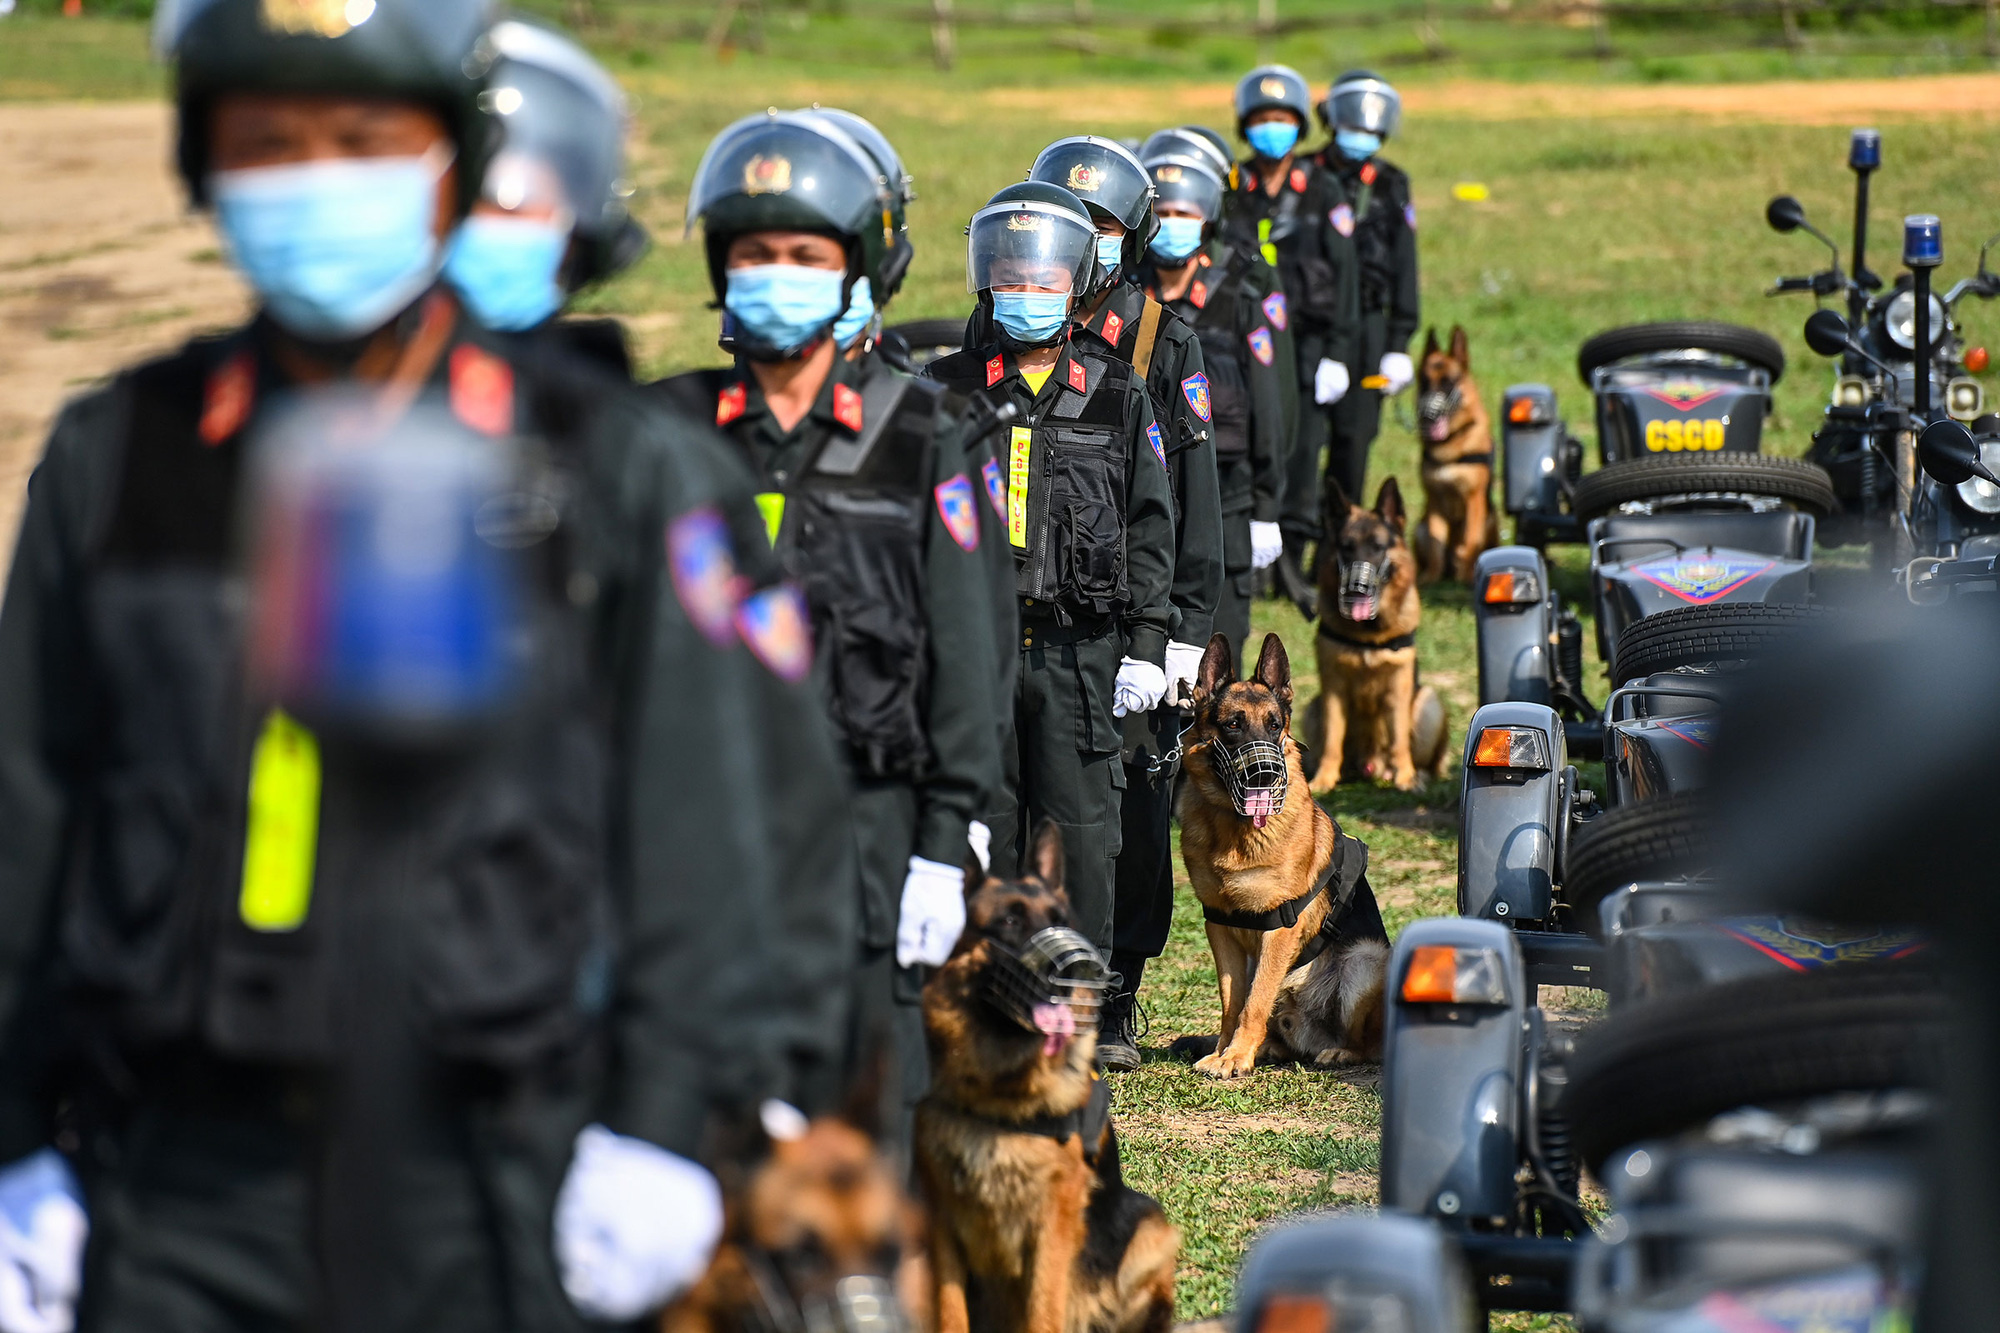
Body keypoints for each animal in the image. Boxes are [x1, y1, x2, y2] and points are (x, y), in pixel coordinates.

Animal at [1168, 628, 1392, 1072]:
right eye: (1233, 724)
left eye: (1274, 726)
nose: (1266, 772)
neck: (1234, 831)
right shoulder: (1220, 928)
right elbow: (1232, 1002)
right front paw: (1225, 1051)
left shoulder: (1278, 930)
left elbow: (1253, 1001)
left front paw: (1236, 1057)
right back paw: (1271, 1046)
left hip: (1367, 959)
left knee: (1370, 1043)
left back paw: (1340, 1051)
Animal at [1304, 474, 1448, 792]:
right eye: (1347, 547)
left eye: (1378, 546)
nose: (1358, 587)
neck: (1368, 634)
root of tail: (1370, 767)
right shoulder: (1333, 690)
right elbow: (1333, 740)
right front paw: (1324, 779)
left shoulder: (1398, 687)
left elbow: (1399, 740)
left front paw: (1405, 778)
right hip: (1313, 707)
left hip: (1429, 704)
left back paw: (1414, 774)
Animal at [1408, 322, 1504, 580]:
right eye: (1424, 382)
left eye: (1447, 383)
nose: (1428, 416)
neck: (1450, 442)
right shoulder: (1434, 501)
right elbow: (1436, 545)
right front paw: (1431, 577)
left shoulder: (1473, 500)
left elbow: (1470, 541)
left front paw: (1467, 577)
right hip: (1420, 526)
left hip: (1490, 517)